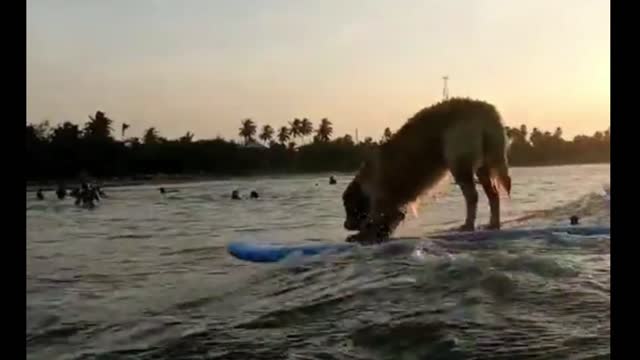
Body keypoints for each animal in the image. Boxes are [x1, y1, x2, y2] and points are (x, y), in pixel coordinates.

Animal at [342, 97, 512, 245]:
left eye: (349, 209)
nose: (345, 225)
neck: (366, 181)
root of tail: (486, 110)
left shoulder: (381, 197)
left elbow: (375, 220)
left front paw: (362, 236)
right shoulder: (392, 203)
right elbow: (387, 219)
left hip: (458, 159)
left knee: (472, 196)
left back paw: (468, 225)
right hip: (484, 163)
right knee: (493, 194)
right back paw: (493, 224)